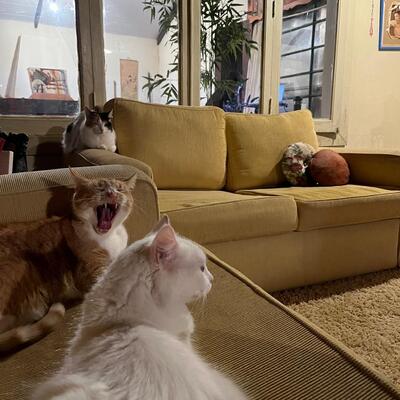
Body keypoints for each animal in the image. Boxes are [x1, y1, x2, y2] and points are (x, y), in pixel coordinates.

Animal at [0, 169, 136, 353]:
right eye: (99, 187)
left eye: (120, 189)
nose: (111, 193)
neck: (109, 236)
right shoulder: (90, 273)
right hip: (19, 265)